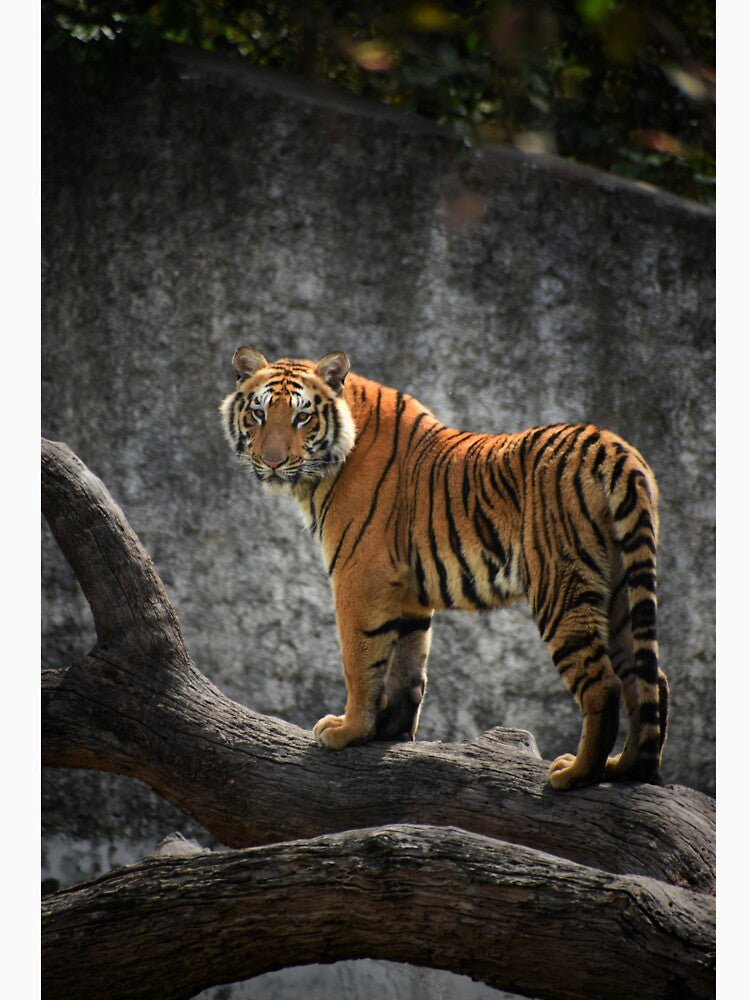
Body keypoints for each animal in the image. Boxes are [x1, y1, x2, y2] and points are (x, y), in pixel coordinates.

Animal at [220, 347, 669, 790]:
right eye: (259, 414)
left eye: (302, 417)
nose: (272, 462)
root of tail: (614, 447)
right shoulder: (406, 589)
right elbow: (407, 663)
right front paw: (390, 732)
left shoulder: (359, 574)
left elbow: (360, 659)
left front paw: (348, 731)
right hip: (621, 588)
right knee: (649, 680)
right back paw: (625, 768)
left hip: (561, 586)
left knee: (604, 684)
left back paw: (575, 774)